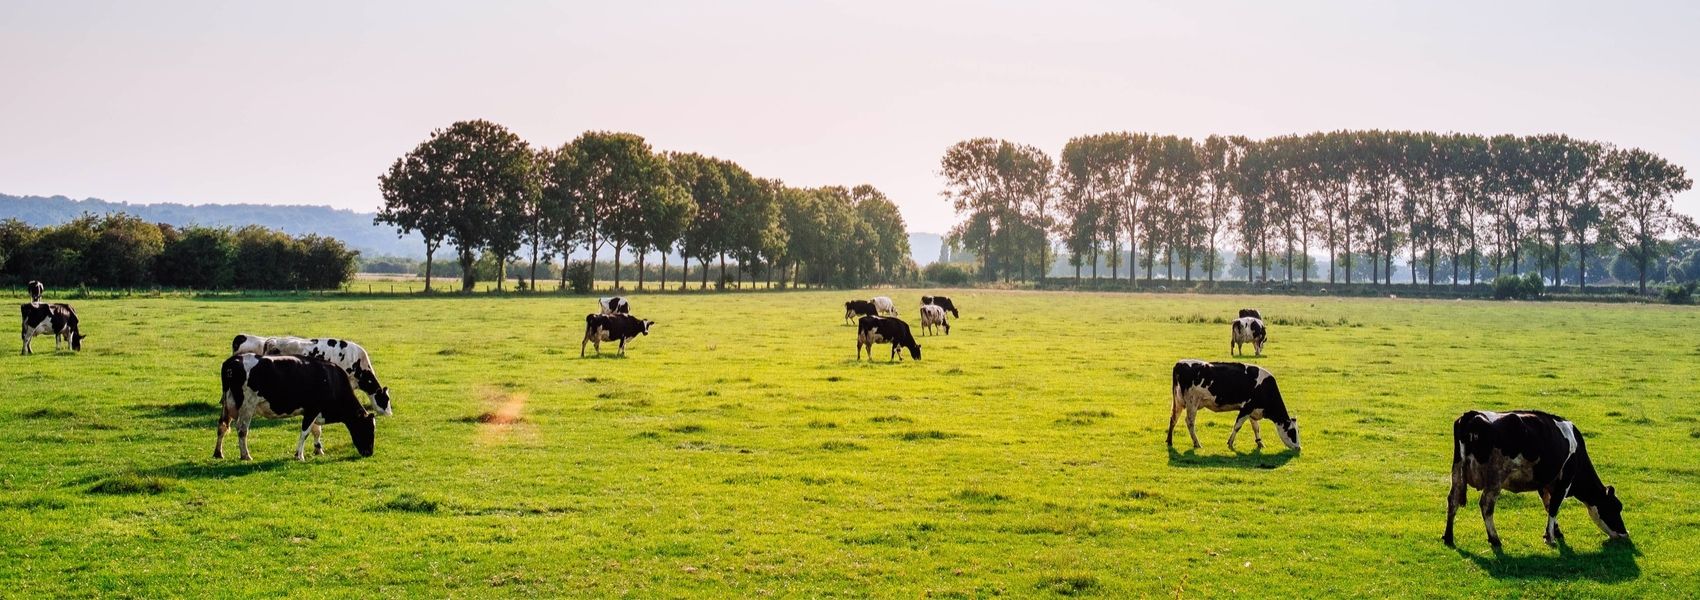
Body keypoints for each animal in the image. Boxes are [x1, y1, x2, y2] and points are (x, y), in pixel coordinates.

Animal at [214, 353, 374, 458]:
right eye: (368, 429)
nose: (369, 453)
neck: (331, 379)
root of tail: (232, 361)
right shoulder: (312, 409)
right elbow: (305, 432)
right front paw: (299, 455)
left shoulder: (313, 412)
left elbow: (316, 431)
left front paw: (318, 450)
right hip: (247, 405)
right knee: (242, 429)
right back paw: (245, 455)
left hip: (227, 404)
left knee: (222, 426)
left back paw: (218, 453)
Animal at [1169, 360, 1298, 448]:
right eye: (1292, 432)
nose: (1299, 448)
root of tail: (1180, 364)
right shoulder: (1246, 408)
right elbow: (1237, 426)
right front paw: (1230, 443)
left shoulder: (1253, 410)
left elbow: (1256, 427)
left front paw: (1260, 443)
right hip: (1192, 403)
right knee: (1190, 422)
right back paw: (1197, 443)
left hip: (1179, 402)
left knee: (1173, 418)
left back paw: (1169, 441)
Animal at [1441, 411, 1625, 547]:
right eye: (1615, 507)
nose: (1625, 534)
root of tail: (1472, 415)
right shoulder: (1565, 480)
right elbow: (1554, 507)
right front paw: (1550, 538)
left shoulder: (1544, 483)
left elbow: (1548, 505)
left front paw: (1555, 531)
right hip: (1495, 478)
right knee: (1486, 505)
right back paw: (1495, 539)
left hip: (1457, 472)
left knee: (1453, 500)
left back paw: (1448, 537)